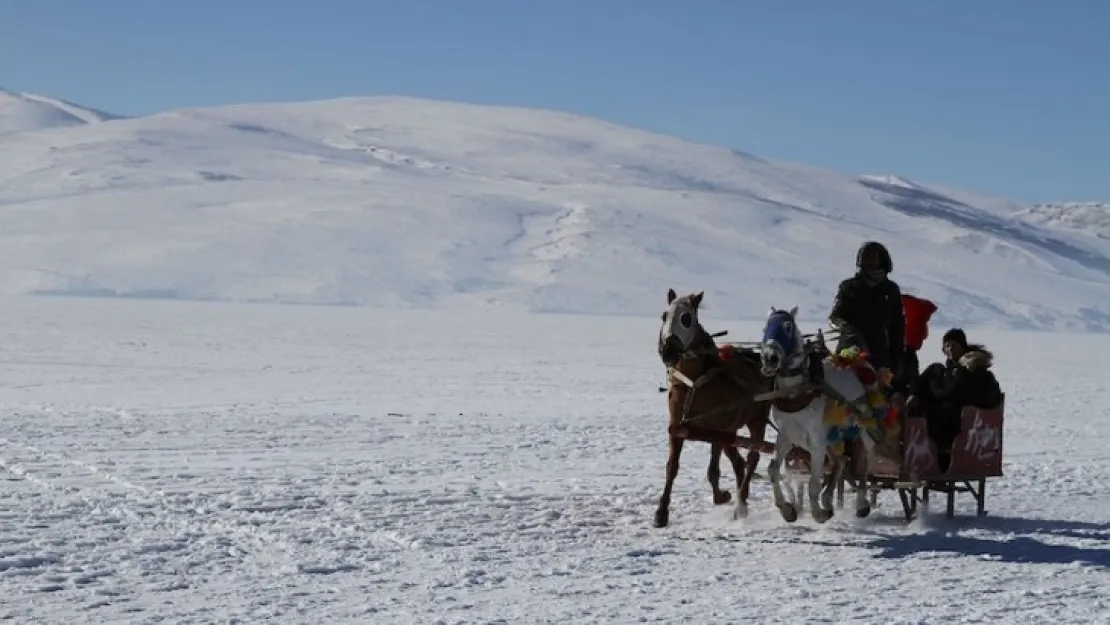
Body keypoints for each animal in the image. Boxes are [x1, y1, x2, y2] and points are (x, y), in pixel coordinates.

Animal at [648, 288, 772, 528]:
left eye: (686, 318)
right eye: (664, 316)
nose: (667, 351)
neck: (696, 382)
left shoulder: (718, 428)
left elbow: (714, 468)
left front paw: (723, 496)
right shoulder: (677, 426)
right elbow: (672, 467)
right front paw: (661, 512)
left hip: (757, 419)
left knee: (752, 457)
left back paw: (741, 504)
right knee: (739, 461)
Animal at [759, 306, 879, 523]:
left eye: (788, 327)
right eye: (765, 328)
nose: (770, 358)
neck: (798, 391)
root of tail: (854, 362)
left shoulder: (816, 443)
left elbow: (813, 484)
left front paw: (817, 514)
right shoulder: (786, 436)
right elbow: (773, 470)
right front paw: (787, 509)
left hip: (863, 427)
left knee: (865, 463)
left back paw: (861, 503)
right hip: (832, 437)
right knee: (840, 462)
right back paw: (828, 501)